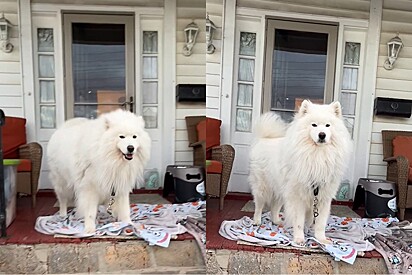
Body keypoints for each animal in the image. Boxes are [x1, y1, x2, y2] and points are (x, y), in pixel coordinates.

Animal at [248, 101, 350, 246]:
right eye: (314, 125)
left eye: (327, 125)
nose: (322, 135)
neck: (317, 155)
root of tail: (264, 139)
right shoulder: (298, 197)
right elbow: (299, 222)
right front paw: (299, 239)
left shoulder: (323, 198)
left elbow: (320, 223)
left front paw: (322, 239)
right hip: (262, 187)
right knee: (259, 205)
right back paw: (257, 221)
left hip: (282, 189)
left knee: (274, 206)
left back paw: (277, 221)